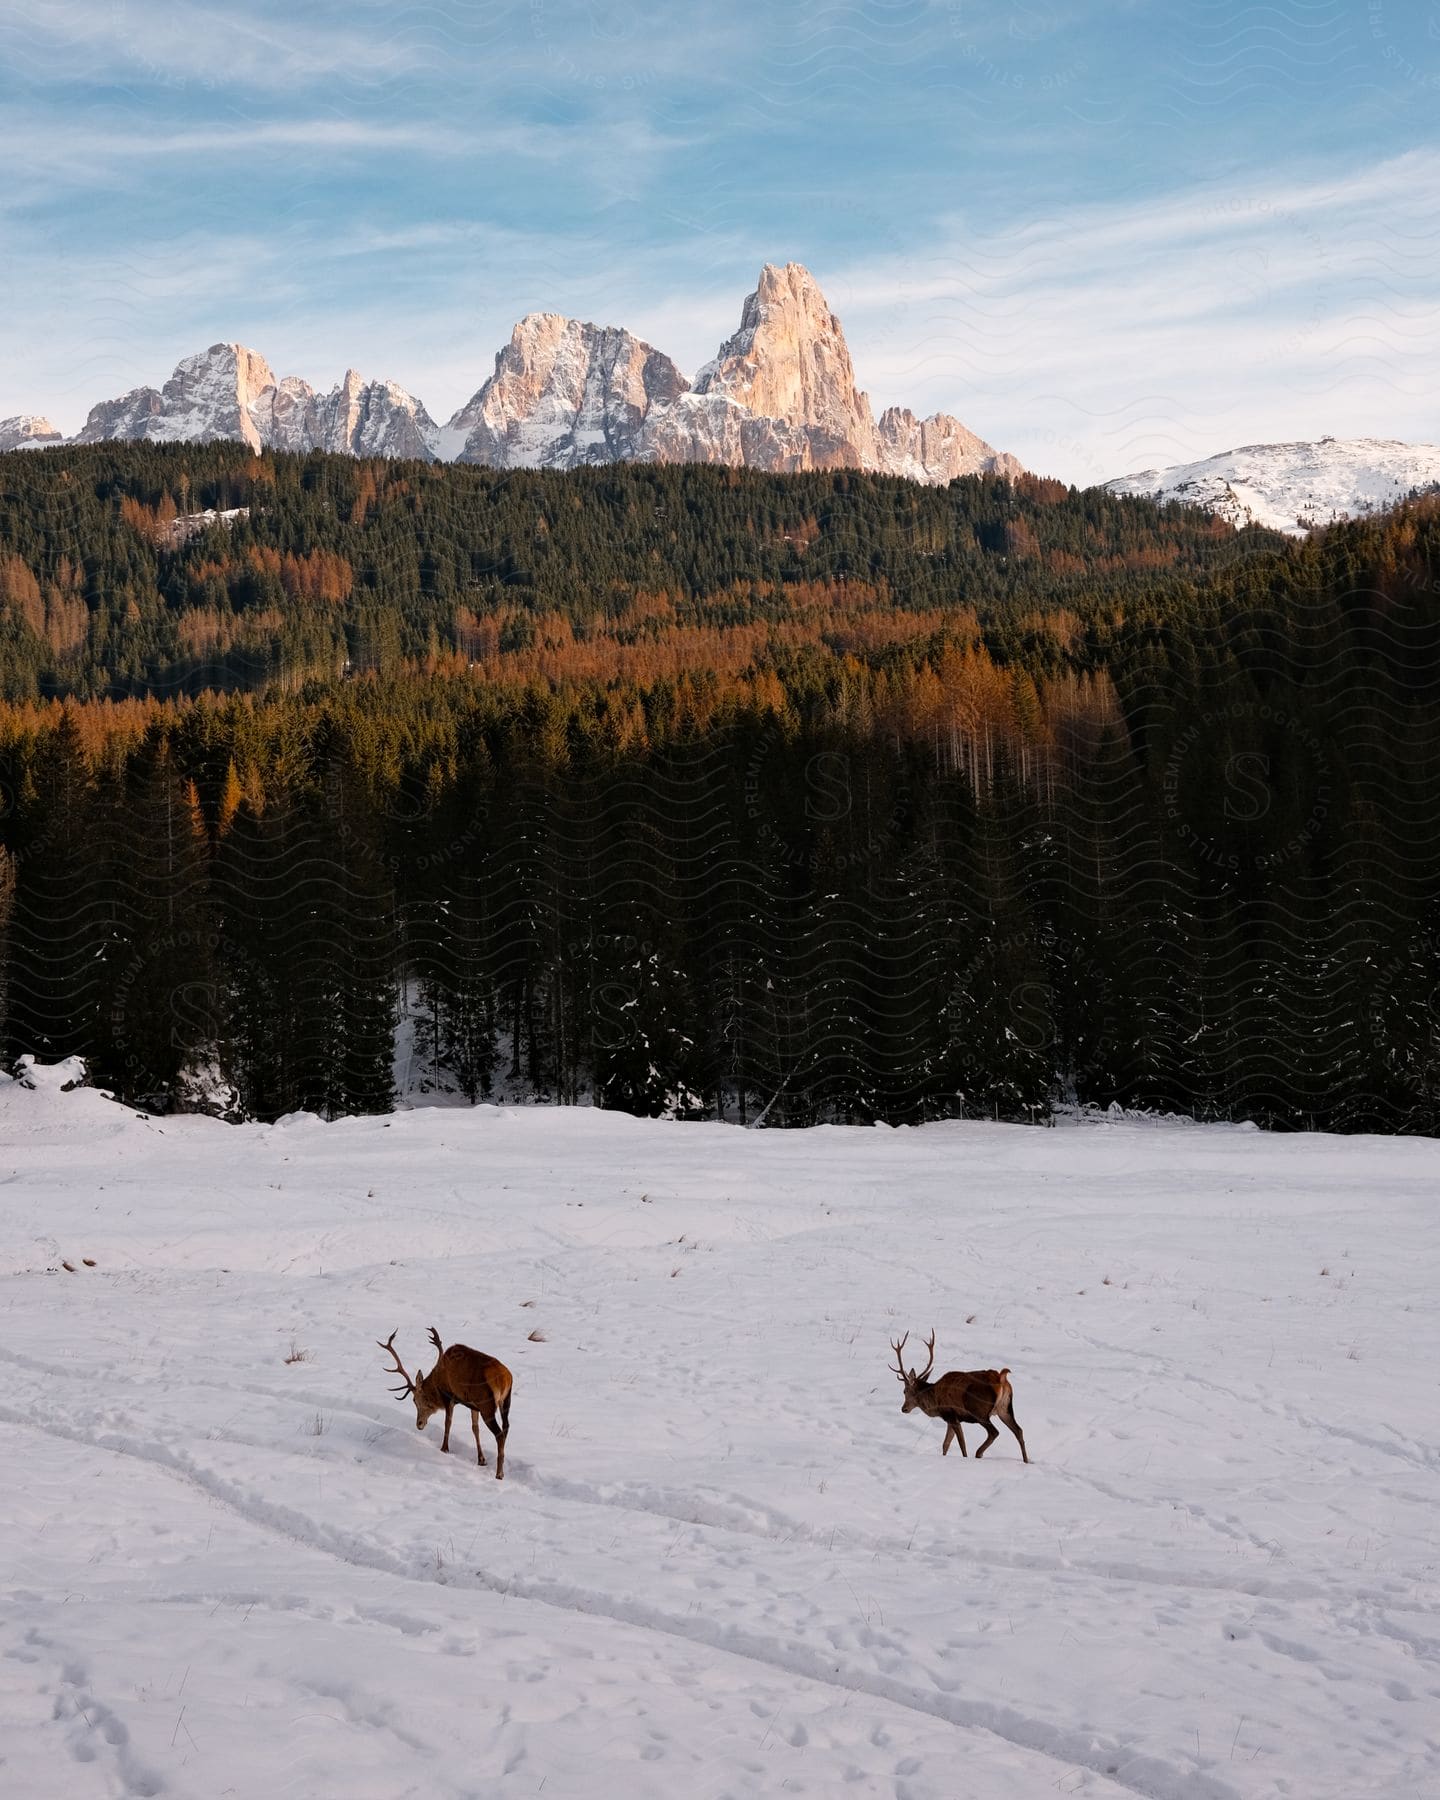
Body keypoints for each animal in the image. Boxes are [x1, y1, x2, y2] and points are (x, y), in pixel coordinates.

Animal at [379, 1324, 514, 1476]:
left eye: (416, 1400)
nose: (419, 1424)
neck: (437, 1381)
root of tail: (505, 1379)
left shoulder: (449, 1396)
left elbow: (447, 1423)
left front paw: (444, 1448)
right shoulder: (473, 1405)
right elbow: (475, 1428)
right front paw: (481, 1459)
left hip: (488, 1405)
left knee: (499, 1434)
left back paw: (499, 1473)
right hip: (506, 1401)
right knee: (506, 1427)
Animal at [882, 1332, 1029, 1454]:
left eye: (904, 1391)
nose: (904, 1408)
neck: (935, 1402)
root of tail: (1001, 1379)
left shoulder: (951, 1414)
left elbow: (962, 1445)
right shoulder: (951, 1419)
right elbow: (945, 1444)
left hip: (979, 1411)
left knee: (994, 1432)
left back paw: (978, 1453)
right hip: (1005, 1409)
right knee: (1019, 1431)